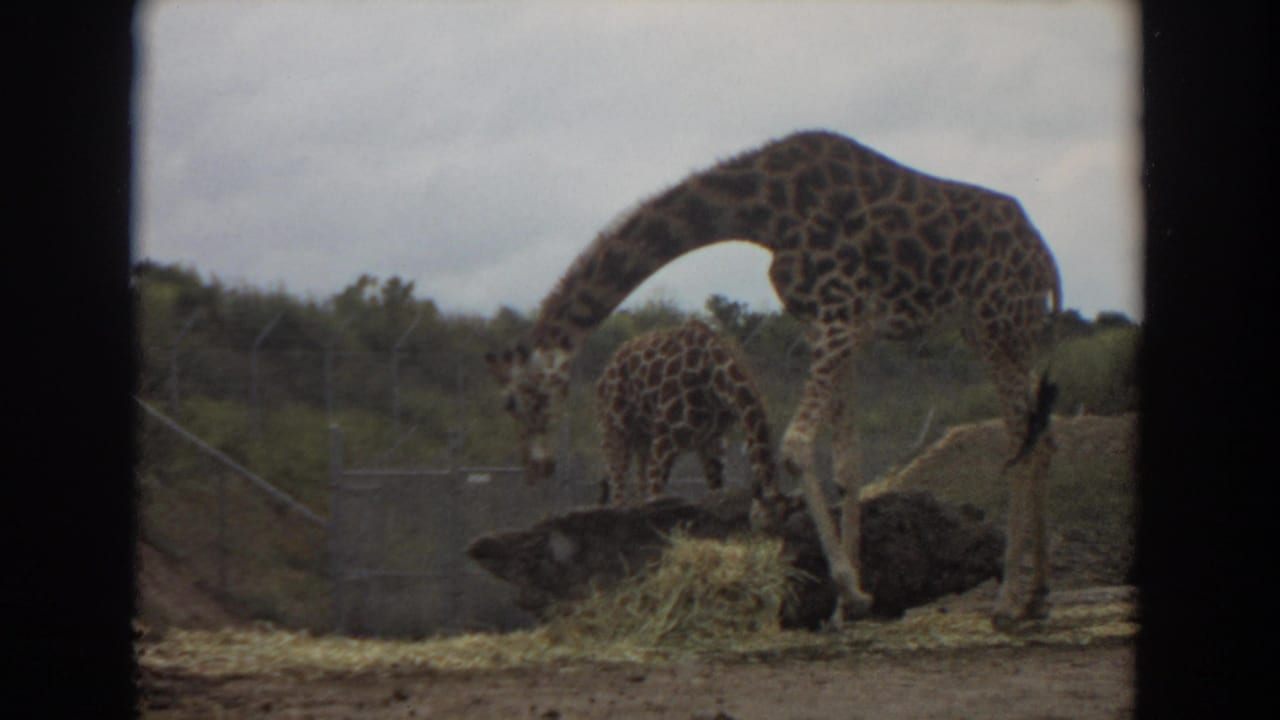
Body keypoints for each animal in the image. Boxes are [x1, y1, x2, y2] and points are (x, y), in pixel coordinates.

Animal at [594, 318, 784, 520]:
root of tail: (604, 374)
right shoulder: (664, 438)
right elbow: (656, 495)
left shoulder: (712, 442)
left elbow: (715, 494)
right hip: (615, 429)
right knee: (618, 487)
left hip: (642, 437)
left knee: (638, 484)